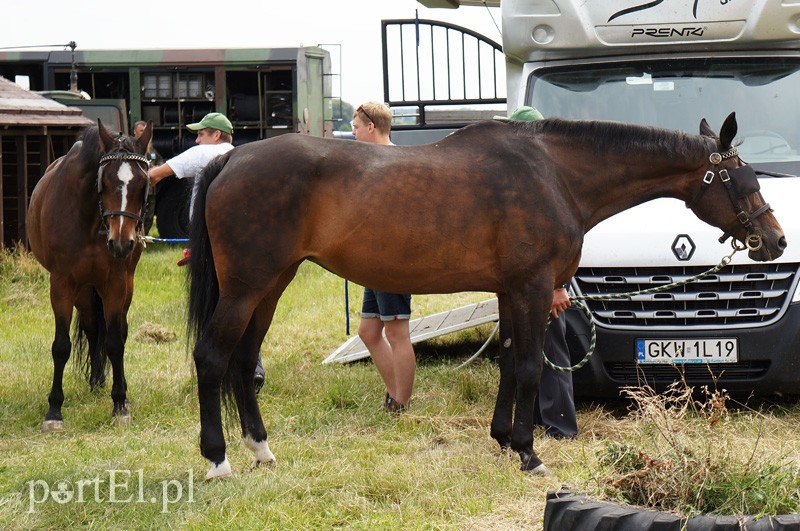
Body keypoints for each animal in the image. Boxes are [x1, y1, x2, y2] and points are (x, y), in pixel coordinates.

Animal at [27, 120, 153, 432]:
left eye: (143, 184)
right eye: (103, 182)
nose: (121, 243)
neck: (91, 219)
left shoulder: (116, 284)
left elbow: (115, 341)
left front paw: (119, 404)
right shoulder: (62, 284)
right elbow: (61, 346)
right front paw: (54, 410)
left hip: (121, 285)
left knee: (115, 330)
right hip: (84, 290)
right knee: (92, 327)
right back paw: (95, 381)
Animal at [186, 111, 780, 478]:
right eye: (741, 178)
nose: (774, 240)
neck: (554, 173)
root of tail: (233, 159)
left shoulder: (508, 290)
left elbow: (510, 363)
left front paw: (503, 438)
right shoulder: (533, 287)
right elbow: (529, 368)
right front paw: (529, 453)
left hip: (271, 285)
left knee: (243, 361)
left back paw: (261, 449)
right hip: (247, 287)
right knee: (212, 357)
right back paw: (218, 460)